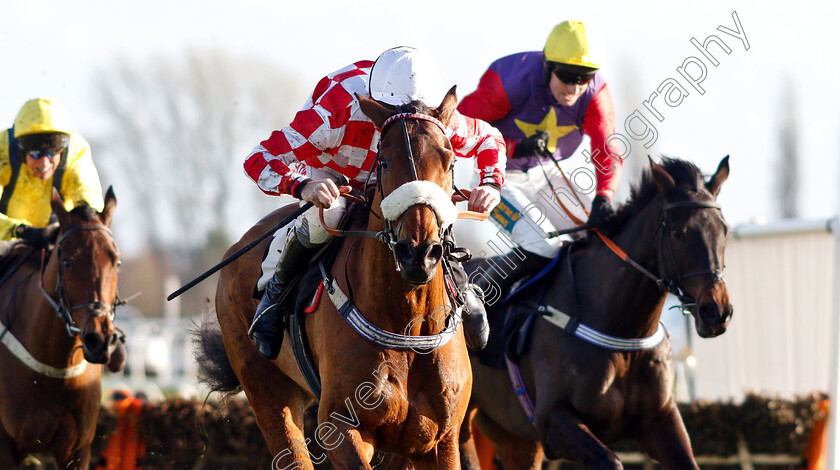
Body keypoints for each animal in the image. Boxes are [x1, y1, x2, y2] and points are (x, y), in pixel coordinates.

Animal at [197, 90, 472, 468]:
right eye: (384, 162)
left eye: (449, 161)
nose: (417, 252)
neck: (408, 323)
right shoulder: (341, 426)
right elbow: (264, 154)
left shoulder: (441, 439)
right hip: (266, 388)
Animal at [462, 158, 732, 470]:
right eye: (678, 232)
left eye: (724, 230)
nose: (716, 311)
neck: (622, 329)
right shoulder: (553, 419)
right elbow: (611, 461)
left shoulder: (661, 418)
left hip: (513, 435)